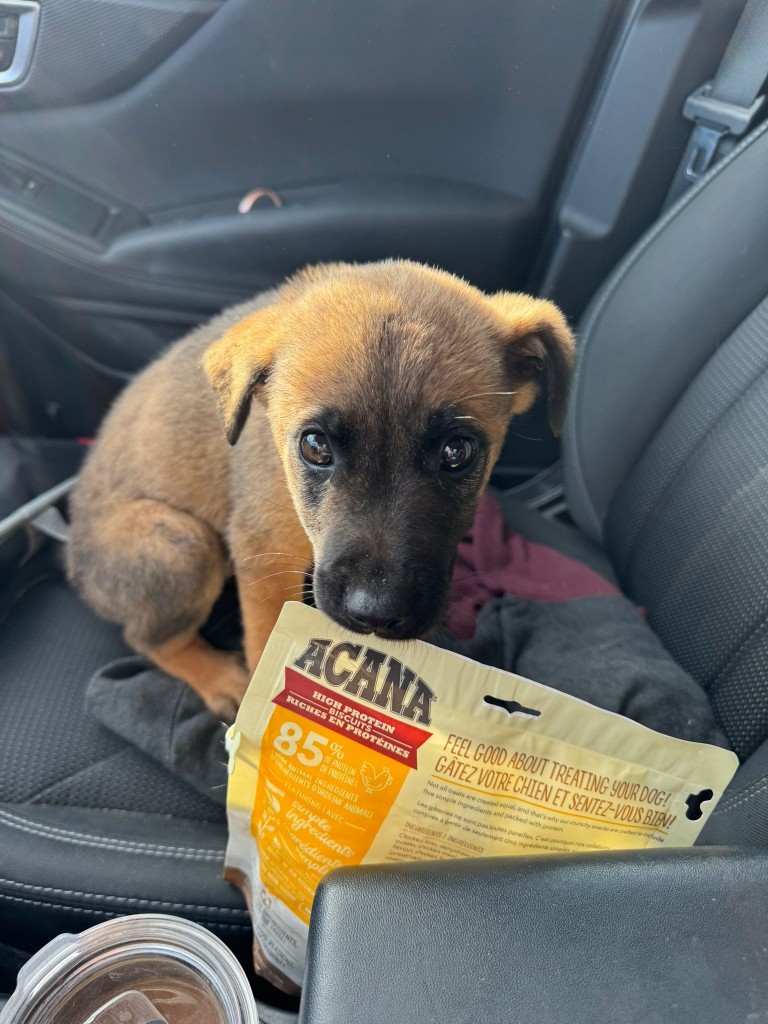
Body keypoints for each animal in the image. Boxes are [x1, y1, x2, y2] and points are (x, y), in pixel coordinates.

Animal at [67, 260, 574, 720]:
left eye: (457, 451)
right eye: (314, 446)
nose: (376, 615)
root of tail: (71, 561)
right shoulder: (262, 557)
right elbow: (264, 642)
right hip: (182, 544)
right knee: (149, 637)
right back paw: (218, 678)